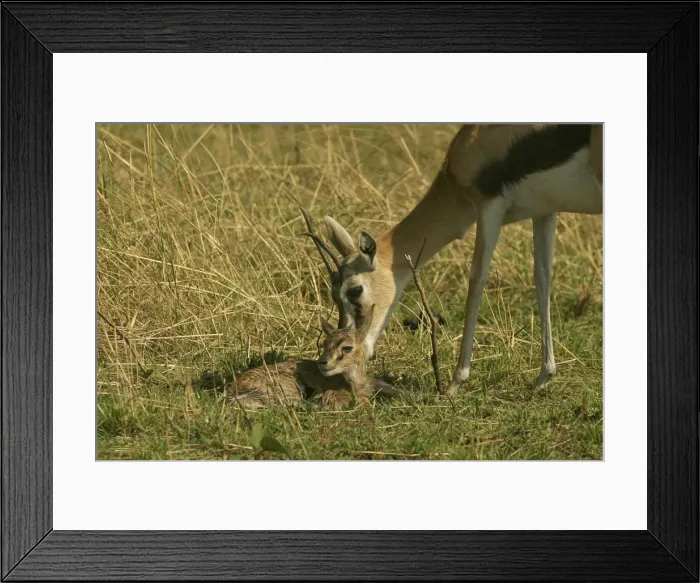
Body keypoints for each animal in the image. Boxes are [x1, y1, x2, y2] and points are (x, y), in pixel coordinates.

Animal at [301, 123, 603, 396]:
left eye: (355, 290)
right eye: (333, 294)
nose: (352, 345)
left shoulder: (488, 207)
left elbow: (476, 282)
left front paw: (455, 383)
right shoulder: (544, 211)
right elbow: (542, 280)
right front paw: (543, 376)